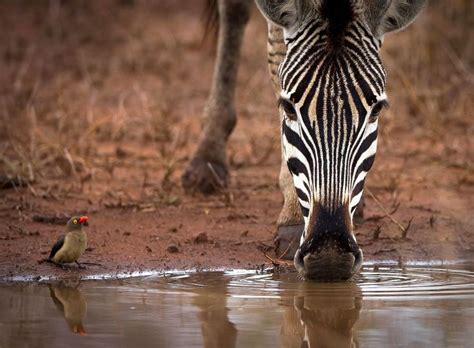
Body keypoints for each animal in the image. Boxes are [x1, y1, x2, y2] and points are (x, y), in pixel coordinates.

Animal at [181, 0, 426, 278]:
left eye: (377, 110)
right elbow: (278, 53)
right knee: (234, 11)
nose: (330, 254)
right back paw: (208, 158)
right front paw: (294, 217)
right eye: (288, 106)